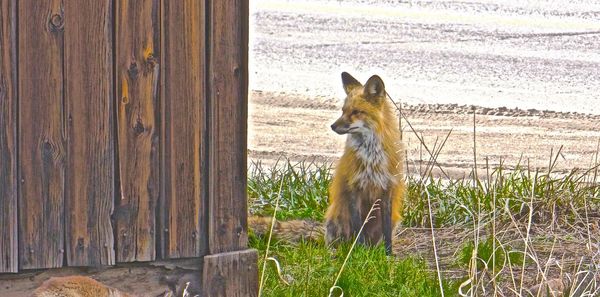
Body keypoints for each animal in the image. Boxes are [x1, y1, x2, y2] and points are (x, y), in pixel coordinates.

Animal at [326, 71, 406, 245]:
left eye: (356, 112)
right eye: (343, 111)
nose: (332, 126)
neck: (372, 157)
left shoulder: (387, 188)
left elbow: (387, 234)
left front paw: (388, 252)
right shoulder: (354, 187)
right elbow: (358, 229)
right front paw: (359, 250)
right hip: (338, 217)